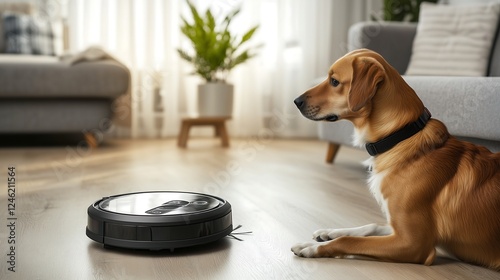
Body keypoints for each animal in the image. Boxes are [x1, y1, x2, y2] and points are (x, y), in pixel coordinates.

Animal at [292, 48, 498, 270]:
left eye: (334, 81)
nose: (296, 101)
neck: (400, 136)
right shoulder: (396, 228)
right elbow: (371, 226)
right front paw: (329, 232)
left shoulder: (413, 243)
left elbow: (350, 241)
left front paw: (313, 247)